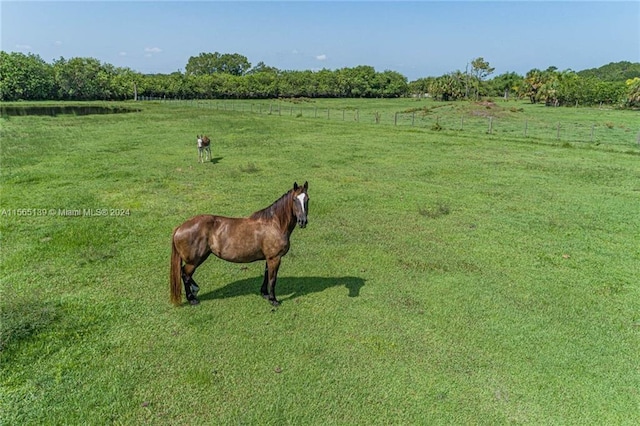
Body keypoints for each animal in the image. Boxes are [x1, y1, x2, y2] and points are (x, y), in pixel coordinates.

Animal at [170, 182, 310, 306]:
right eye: (294, 199)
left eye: (307, 199)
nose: (303, 221)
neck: (274, 224)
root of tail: (180, 227)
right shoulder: (274, 258)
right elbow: (272, 279)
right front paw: (273, 300)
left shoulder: (269, 258)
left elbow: (266, 275)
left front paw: (264, 293)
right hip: (194, 261)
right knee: (185, 275)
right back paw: (192, 298)